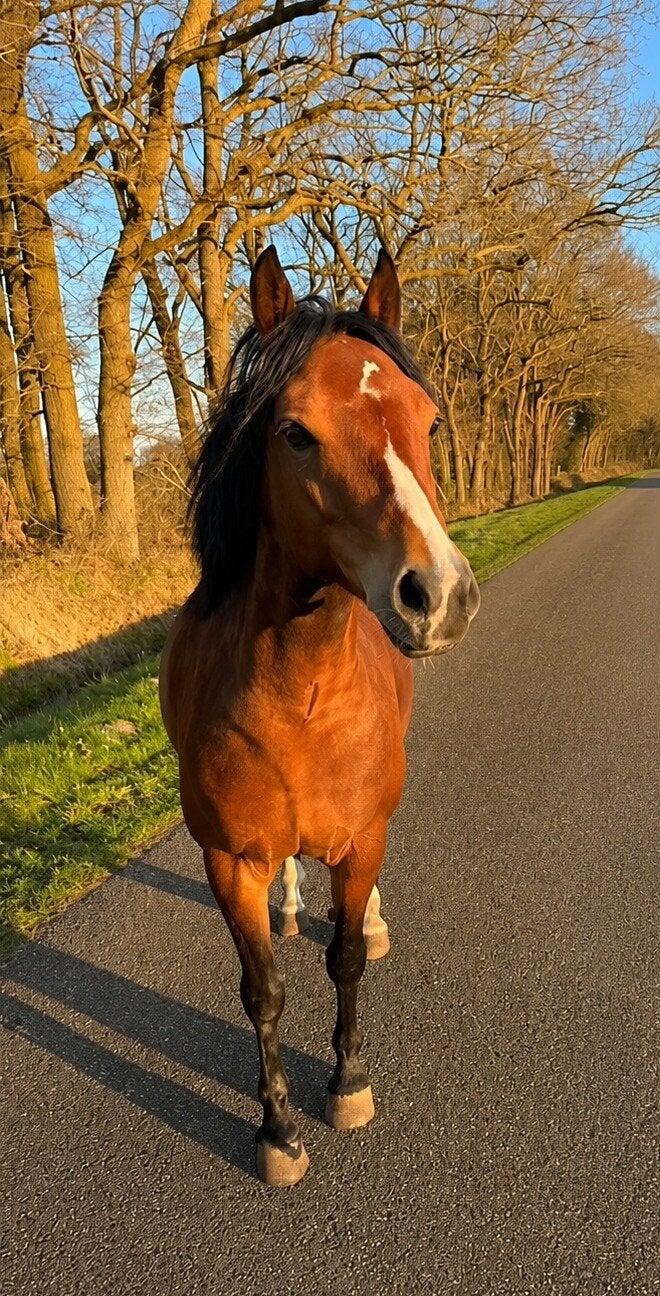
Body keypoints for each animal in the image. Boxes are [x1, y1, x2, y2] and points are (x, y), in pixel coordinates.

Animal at [159, 246, 480, 1186]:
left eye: (431, 423)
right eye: (295, 432)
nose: (437, 595)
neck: (299, 692)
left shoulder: (364, 837)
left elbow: (343, 961)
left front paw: (347, 1085)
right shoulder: (229, 861)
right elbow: (262, 992)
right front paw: (277, 1132)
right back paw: (293, 905)